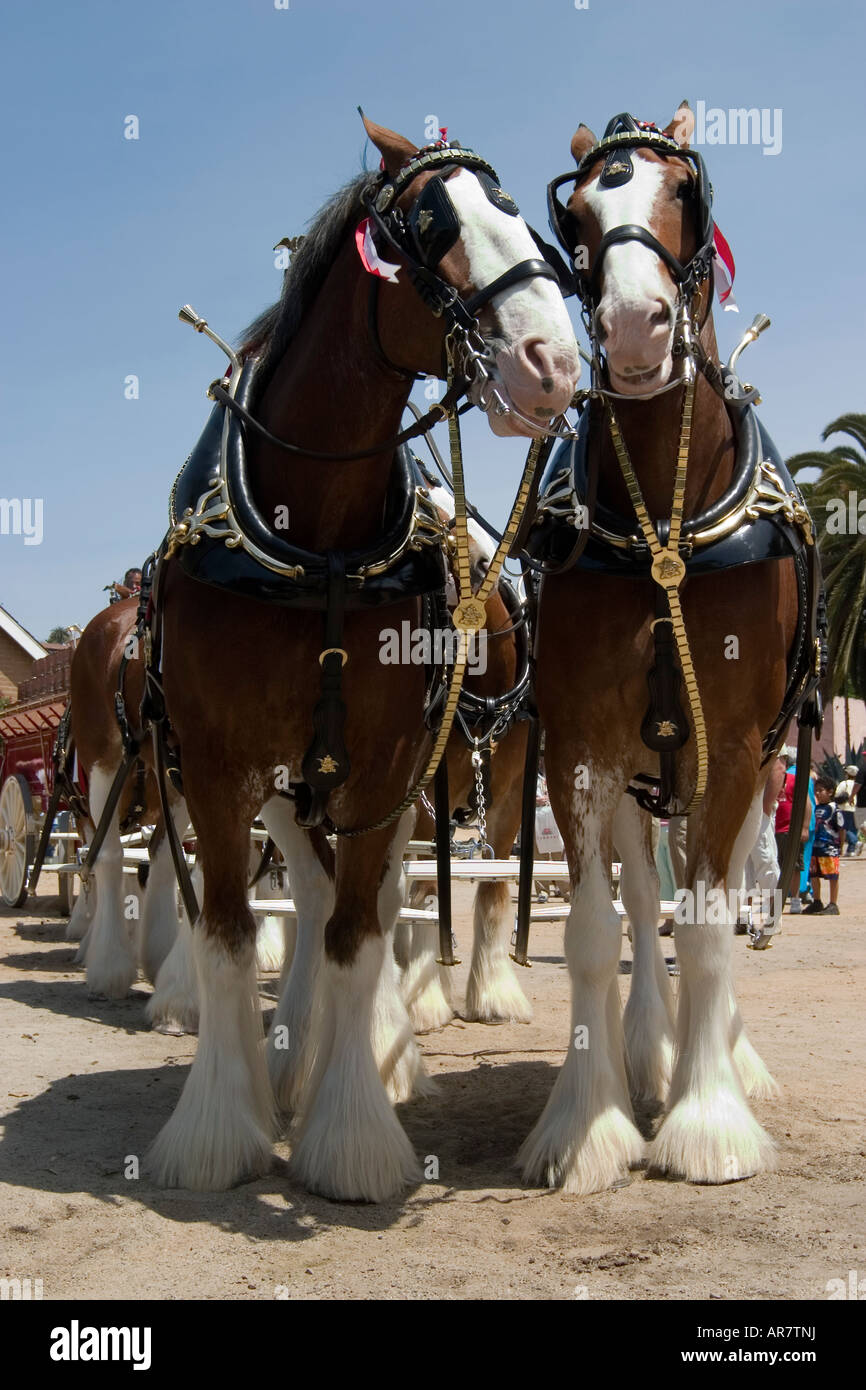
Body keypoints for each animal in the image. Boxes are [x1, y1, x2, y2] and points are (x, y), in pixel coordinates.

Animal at [145, 116, 580, 1200]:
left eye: (521, 215)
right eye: (429, 226)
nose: (553, 363)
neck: (317, 538)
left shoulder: (388, 759)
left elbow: (356, 932)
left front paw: (350, 1134)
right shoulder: (217, 761)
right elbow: (228, 934)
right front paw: (217, 1131)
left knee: (397, 894)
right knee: (307, 887)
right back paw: (294, 1055)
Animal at [520, 104, 817, 1193]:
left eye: (683, 191)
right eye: (573, 214)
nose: (634, 327)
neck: (665, 518)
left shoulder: (732, 746)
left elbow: (708, 920)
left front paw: (707, 1122)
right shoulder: (577, 745)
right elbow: (593, 928)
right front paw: (587, 1123)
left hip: (743, 767)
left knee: (714, 888)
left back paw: (721, 1055)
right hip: (641, 770)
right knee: (649, 893)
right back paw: (649, 1050)